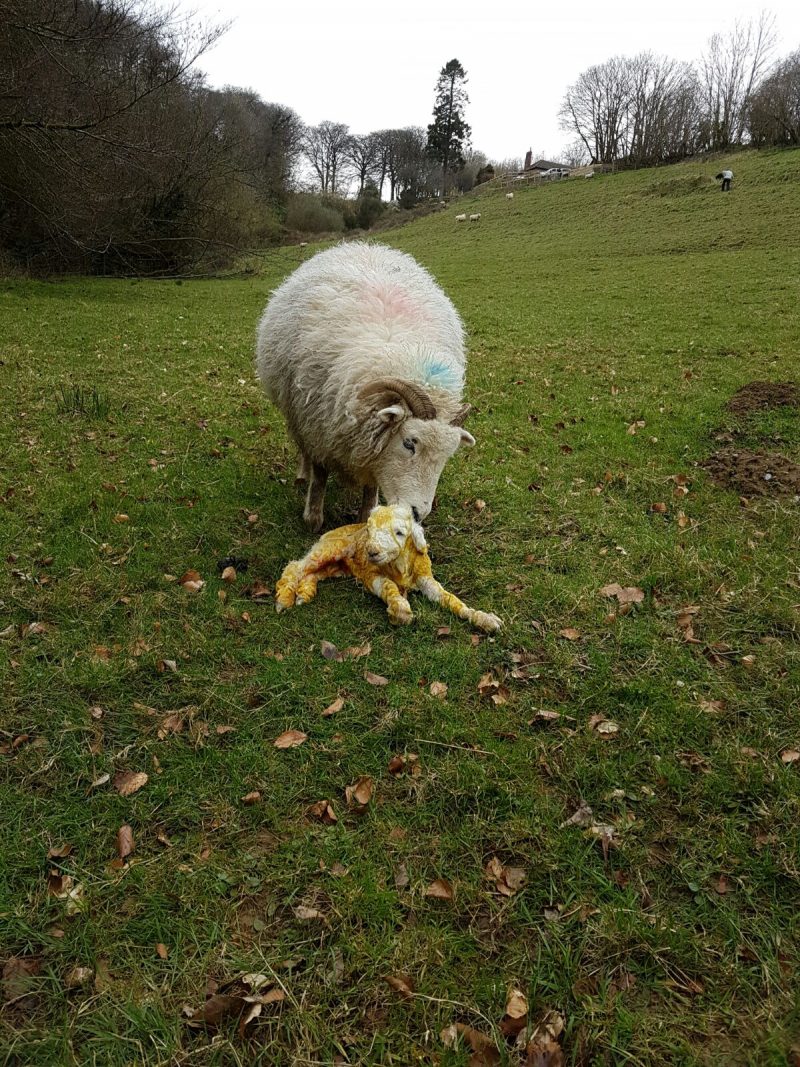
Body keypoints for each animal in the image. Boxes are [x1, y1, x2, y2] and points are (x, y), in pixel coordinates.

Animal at [254, 237, 475, 529]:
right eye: (409, 443)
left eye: (448, 456)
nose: (418, 513)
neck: (401, 355)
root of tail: (362, 245)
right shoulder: (317, 424)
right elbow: (320, 473)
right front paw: (313, 518)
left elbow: (371, 484)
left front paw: (366, 514)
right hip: (295, 410)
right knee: (303, 449)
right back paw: (303, 474)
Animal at [275, 501, 501, 627]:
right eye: (369, 529)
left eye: (400, 532)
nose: (371, 551)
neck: (400, 566)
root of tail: (329, 532)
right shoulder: (370, 574)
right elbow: (388, 586)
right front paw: (400, 611)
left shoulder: (426, 577)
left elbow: (449, 598)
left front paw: (483, 619)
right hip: (330, 549)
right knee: (296, 567)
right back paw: (284, 599)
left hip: (336, 567)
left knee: (311, 574)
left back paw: (304, 594)